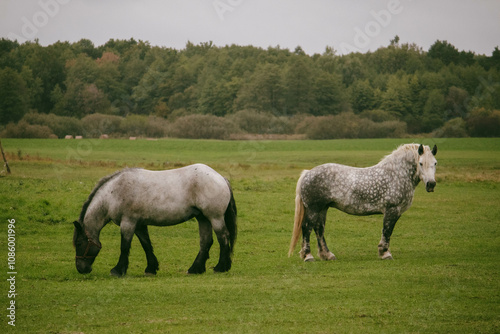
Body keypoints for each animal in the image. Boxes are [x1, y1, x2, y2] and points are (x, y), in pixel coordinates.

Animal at [73, 164, 237, 276]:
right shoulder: (139, 225)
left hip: (215, 218)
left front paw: (118, 270)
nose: (81, 269)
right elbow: (146, 245)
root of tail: (221, 178)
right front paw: (151, 268)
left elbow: (124, 246)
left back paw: (220, 267)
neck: (114, 193)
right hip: (203, 218)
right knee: (206, 242)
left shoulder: (128, 223)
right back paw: (195, 269)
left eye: (79, 243)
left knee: (223, 238)